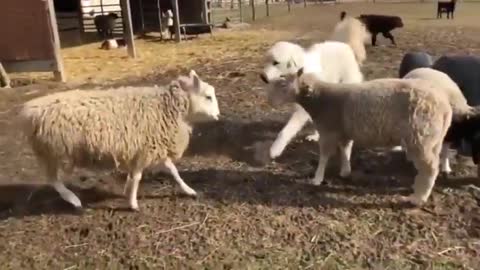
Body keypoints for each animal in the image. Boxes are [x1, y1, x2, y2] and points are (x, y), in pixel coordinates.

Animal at [18, 70, 221, 211]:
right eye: (208, 97)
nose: (219, 116)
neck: (166, 107)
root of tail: (28, 110)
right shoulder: (145, 148)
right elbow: (138, 176)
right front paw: (132, 203)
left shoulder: (153, 147)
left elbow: (173, 171)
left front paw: (188, 190)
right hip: (53, 151)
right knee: (53, 180)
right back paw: (73, 200)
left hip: (51, 152)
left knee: (52, 179)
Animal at [260, 39, 362, 179]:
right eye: (266, 61)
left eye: (276, 62)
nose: (262, 77)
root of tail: (344, 45)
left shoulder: (301, 111)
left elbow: (285, 131)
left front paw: (275, 150)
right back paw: (315, 135)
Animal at [266, 68, 454, 207]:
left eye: (283, 84)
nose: (269, 102)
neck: (320, 99)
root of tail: (446, 106)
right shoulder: (344, 132)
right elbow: (345, 150)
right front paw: (345, 171)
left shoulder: (328, 131)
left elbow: (324, 157)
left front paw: (317, 179)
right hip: (432, 140)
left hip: (420, 137)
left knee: (430, 168)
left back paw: (418, 198)